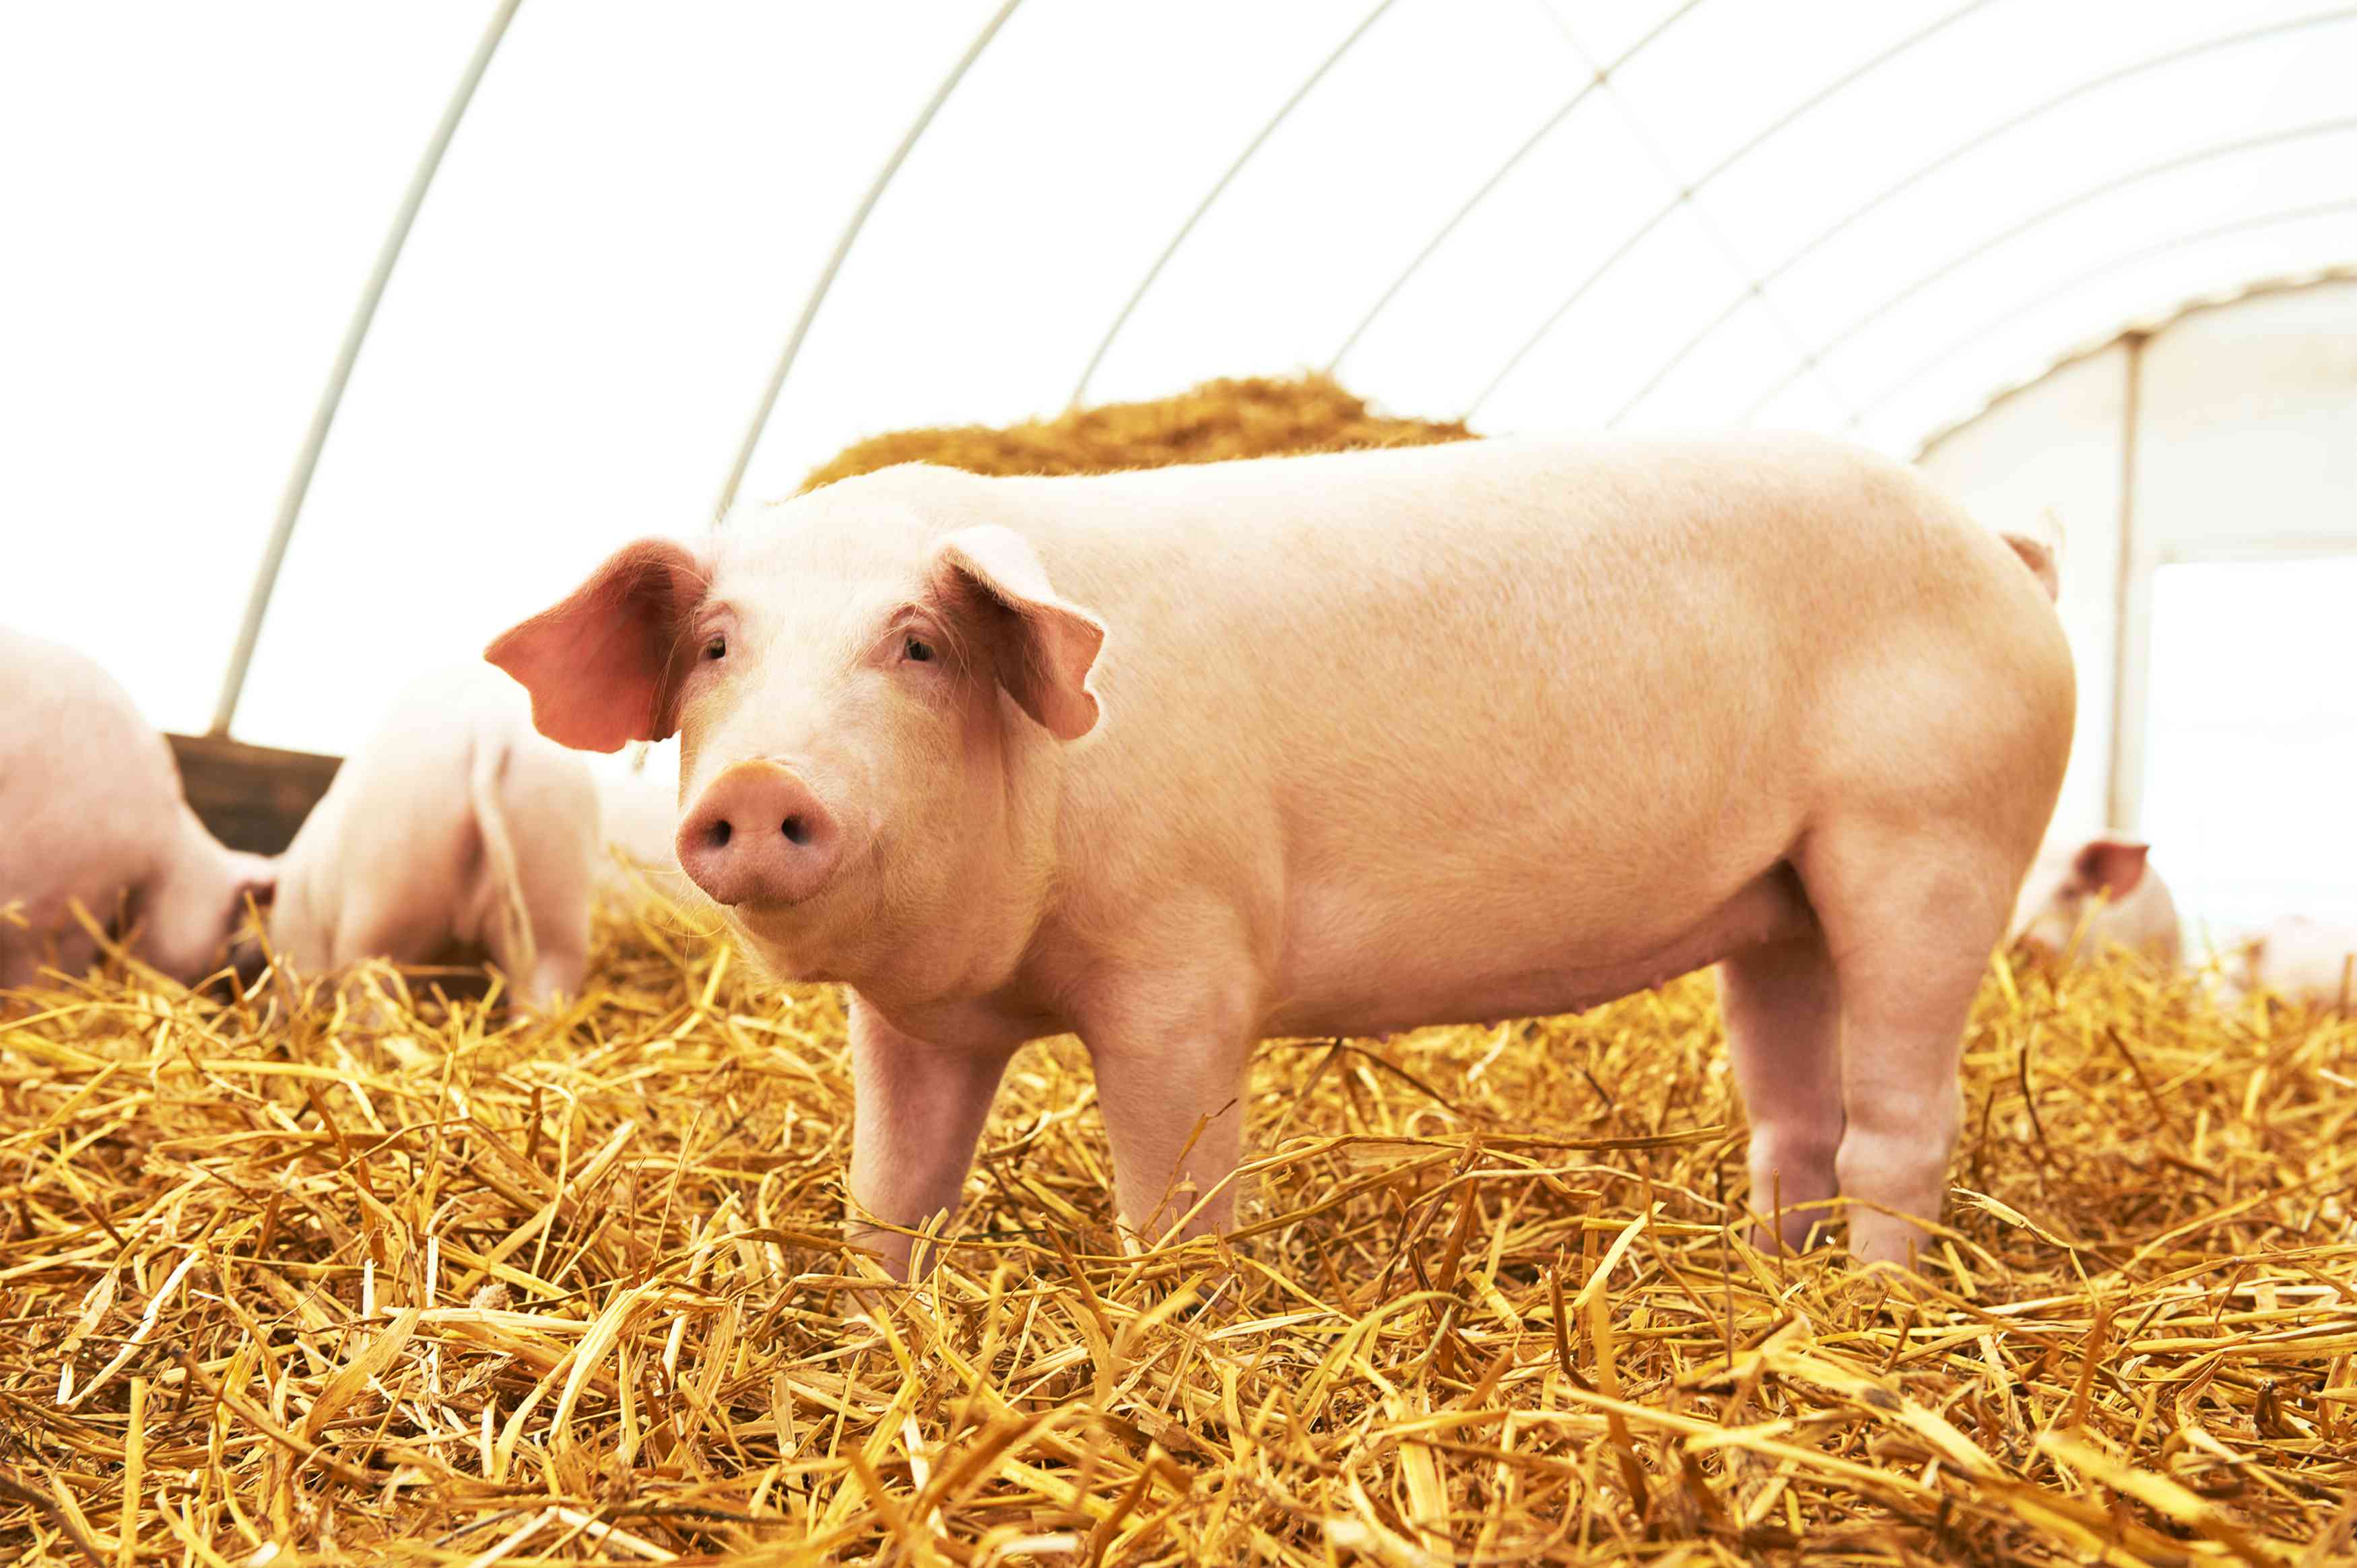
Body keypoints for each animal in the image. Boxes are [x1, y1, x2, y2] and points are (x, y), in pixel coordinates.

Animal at [492, 431, 2065, 1273]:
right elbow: (892, 1189)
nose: (760, 785)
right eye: (715, 647)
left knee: (1902, 1117)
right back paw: (1774, 1277)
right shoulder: (912, 1020)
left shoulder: (1185, 961)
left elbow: (1176, 1197)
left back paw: (1870, 1300)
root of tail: (1999, 548)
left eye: (919, 644)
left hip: (1929, 835)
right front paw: (882, 1316)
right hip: (1784, 899)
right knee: (1795, 1116)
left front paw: (1170, 1317)